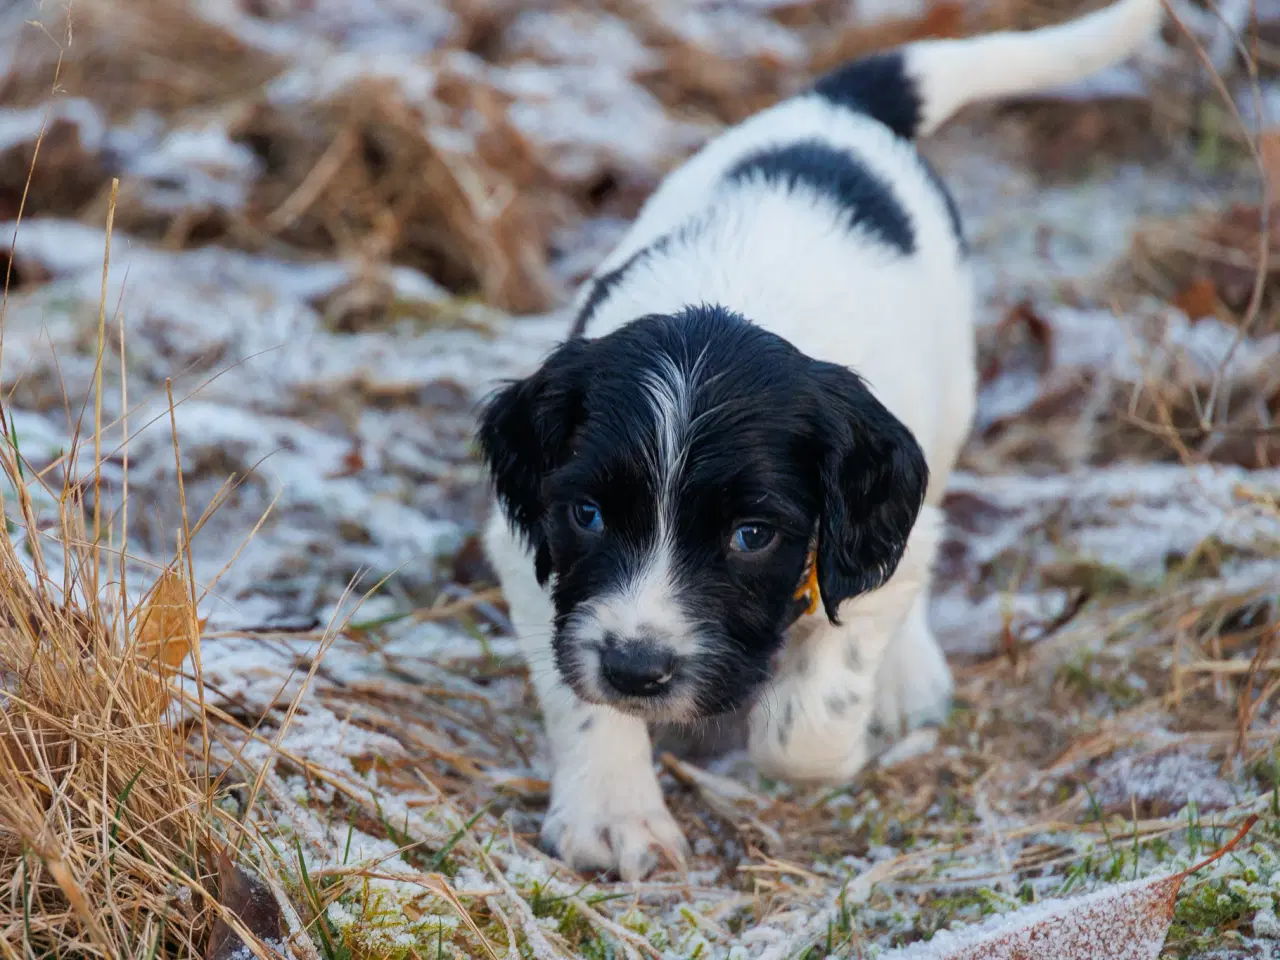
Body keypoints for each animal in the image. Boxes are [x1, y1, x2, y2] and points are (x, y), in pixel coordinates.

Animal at [476, 0, 1167, 885]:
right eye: (588, 516)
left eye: (751, 536)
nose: (638, 670)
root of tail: (837, 109)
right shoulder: (535, 558)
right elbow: (580, 697)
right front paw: (614, 816)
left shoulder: (868, 538)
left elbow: (808, 719)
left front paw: (822, 729)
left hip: (948, 405)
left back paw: (908, 678)